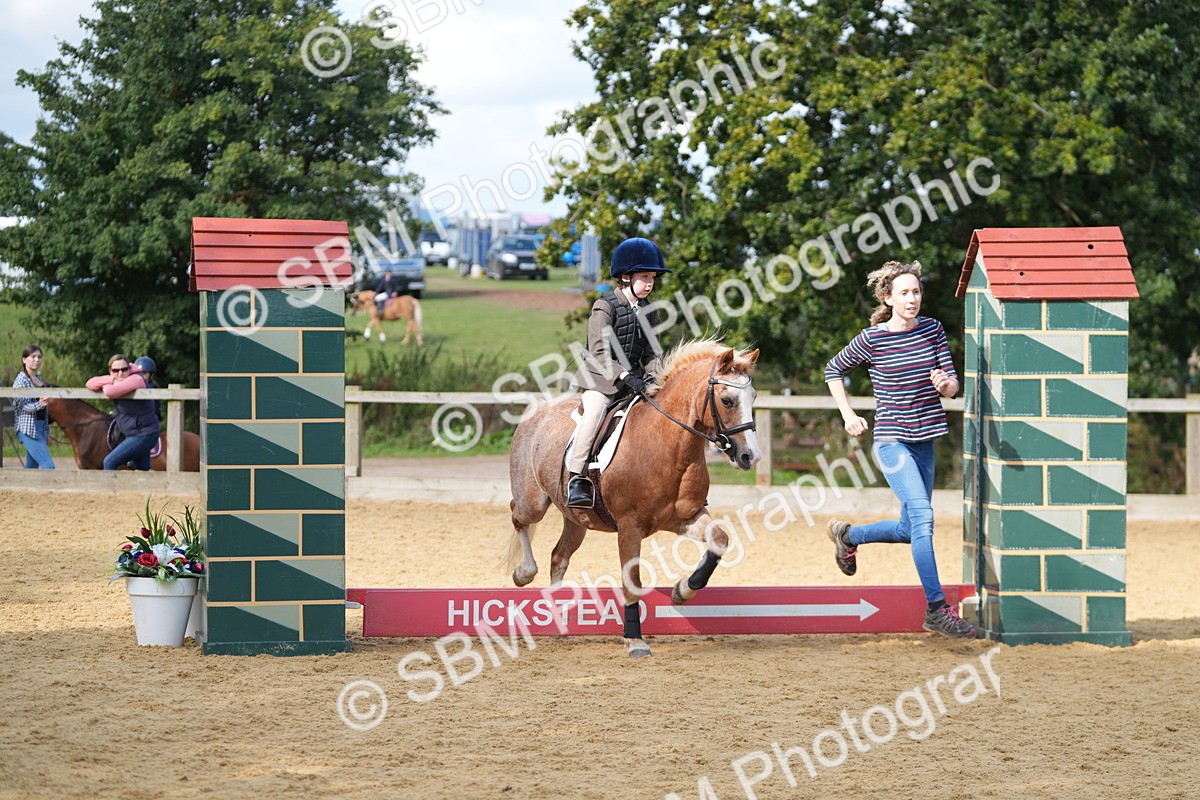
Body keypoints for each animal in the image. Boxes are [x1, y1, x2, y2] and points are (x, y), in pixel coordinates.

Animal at [505, 339, 762, 657]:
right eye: (727, 401)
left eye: (753, 397)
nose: (750, 456)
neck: (672, 448)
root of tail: (537, 412)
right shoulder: (629, 527)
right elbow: (632, 581)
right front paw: (635, 640)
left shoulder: (686, 518)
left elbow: (720, 541)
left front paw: (682, 590)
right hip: (534, 502)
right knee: (518, 515)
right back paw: (524, 574)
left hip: (576, 518)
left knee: (559, 557)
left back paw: (558, 621)